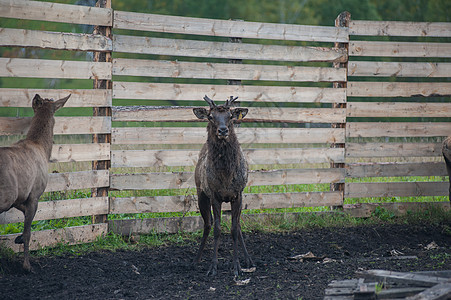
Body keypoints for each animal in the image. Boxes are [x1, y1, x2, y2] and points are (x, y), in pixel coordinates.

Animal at [0, 94, 70, 272]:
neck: (43, 148)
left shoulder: (21, 195)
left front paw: (18, 238)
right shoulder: (35, 194)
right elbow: (28, 231)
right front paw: (27, 265)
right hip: (5, 196)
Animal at [192, 95, 254, 276]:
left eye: (231, 116)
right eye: (210, 117)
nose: (223, 130)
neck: (226, 176)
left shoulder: (238, 194)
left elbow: (234, 229)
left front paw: (237, 266)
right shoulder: (214, 195)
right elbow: (217, 229)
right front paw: (213, 267)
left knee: (238, 224)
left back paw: (248, 259)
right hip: (201, 194)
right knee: (207, 224)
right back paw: (196, 260)